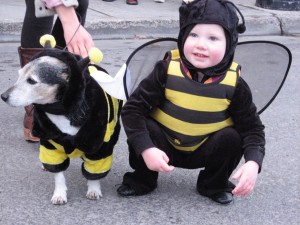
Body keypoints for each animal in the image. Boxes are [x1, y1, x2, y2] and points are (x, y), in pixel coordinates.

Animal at [0, 43, 122, 205]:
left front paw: (94, 189)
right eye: (19, 75)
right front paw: (59, 194)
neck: (61, 111)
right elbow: (58, 175)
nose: (3, 96)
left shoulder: (99, 147)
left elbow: (93, 173)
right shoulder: (51, 145)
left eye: (31, 81)